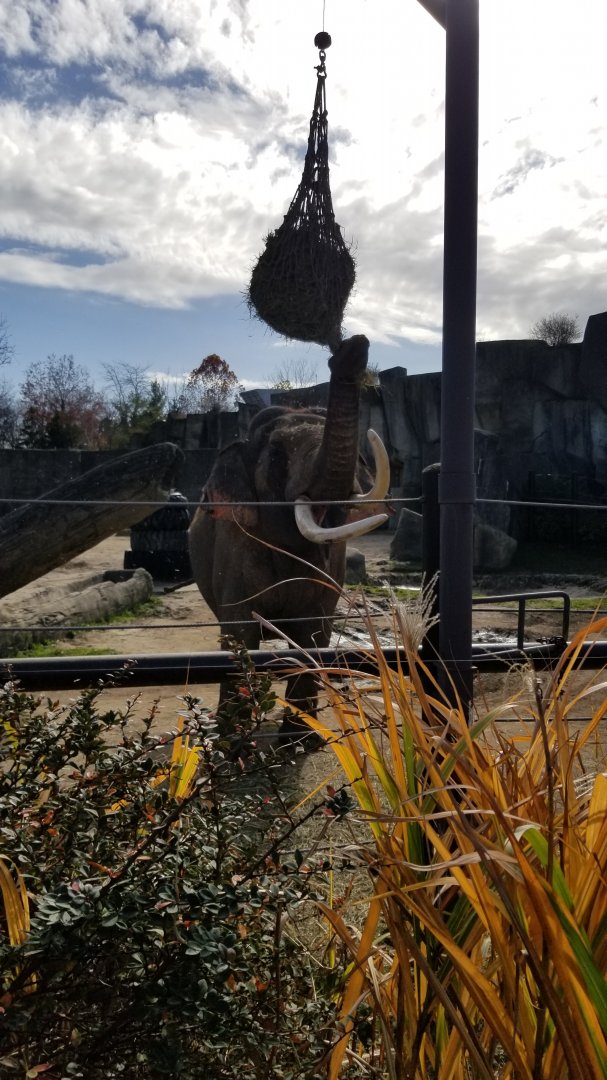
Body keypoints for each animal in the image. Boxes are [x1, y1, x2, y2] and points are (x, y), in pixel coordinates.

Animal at [188, 335, 391, 745]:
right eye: (277, 456)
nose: (354, 346)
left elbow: (314, 632)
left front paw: (300, 744)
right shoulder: (236, 549)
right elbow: (240, 633)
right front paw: (234, 745)